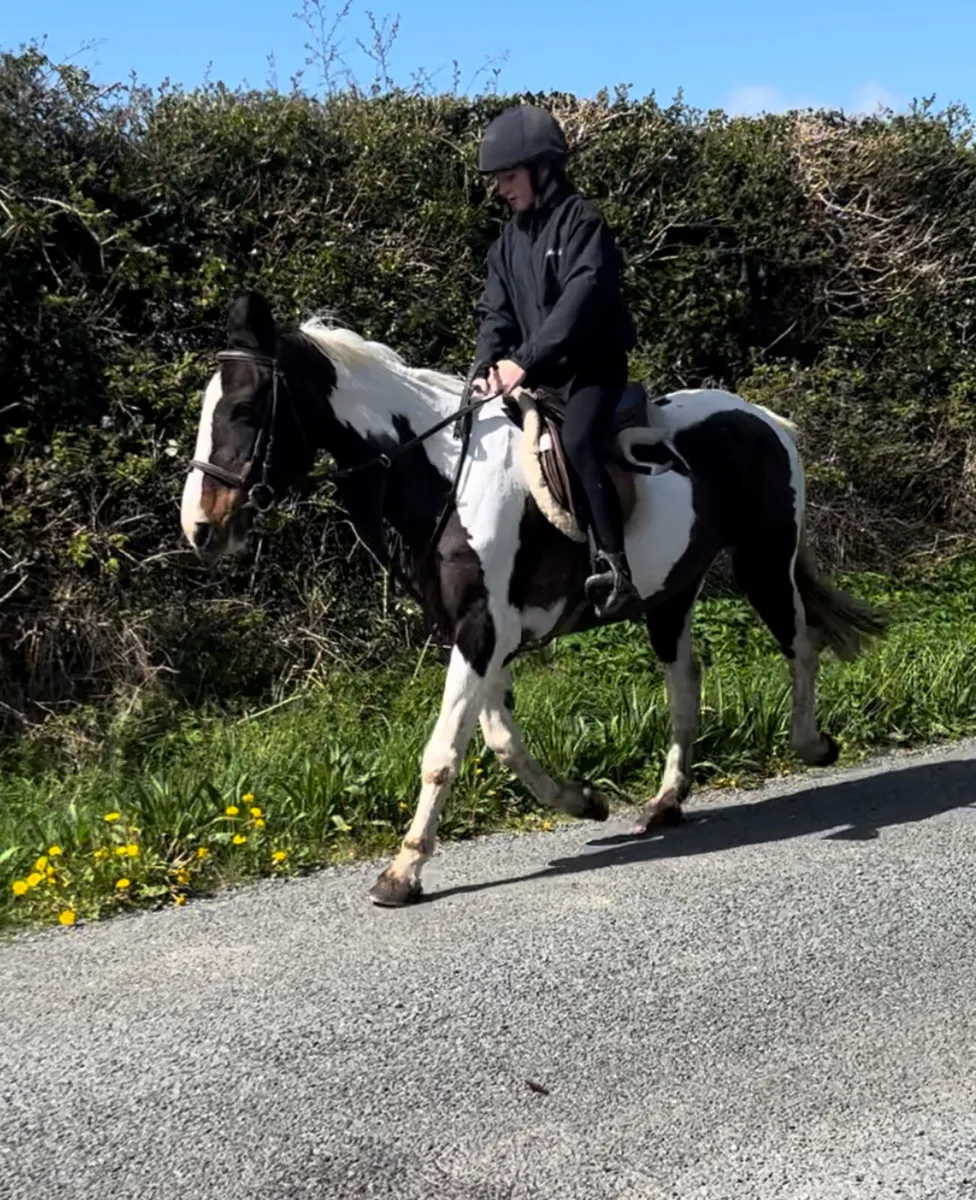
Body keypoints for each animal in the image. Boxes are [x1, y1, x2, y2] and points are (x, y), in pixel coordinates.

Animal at [181, 292, 886, 907]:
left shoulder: (482, 629)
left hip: (763, 561)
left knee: (801, 644)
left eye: (245, 409)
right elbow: (499, 738)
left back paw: (812, 745)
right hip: (672, 591)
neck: (445, 474)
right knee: (685, 682)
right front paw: (584, 801)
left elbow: (444, 752)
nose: (201, 527)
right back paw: (664, 803)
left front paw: (402, 872)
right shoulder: (477, 633)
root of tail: (764, 419)